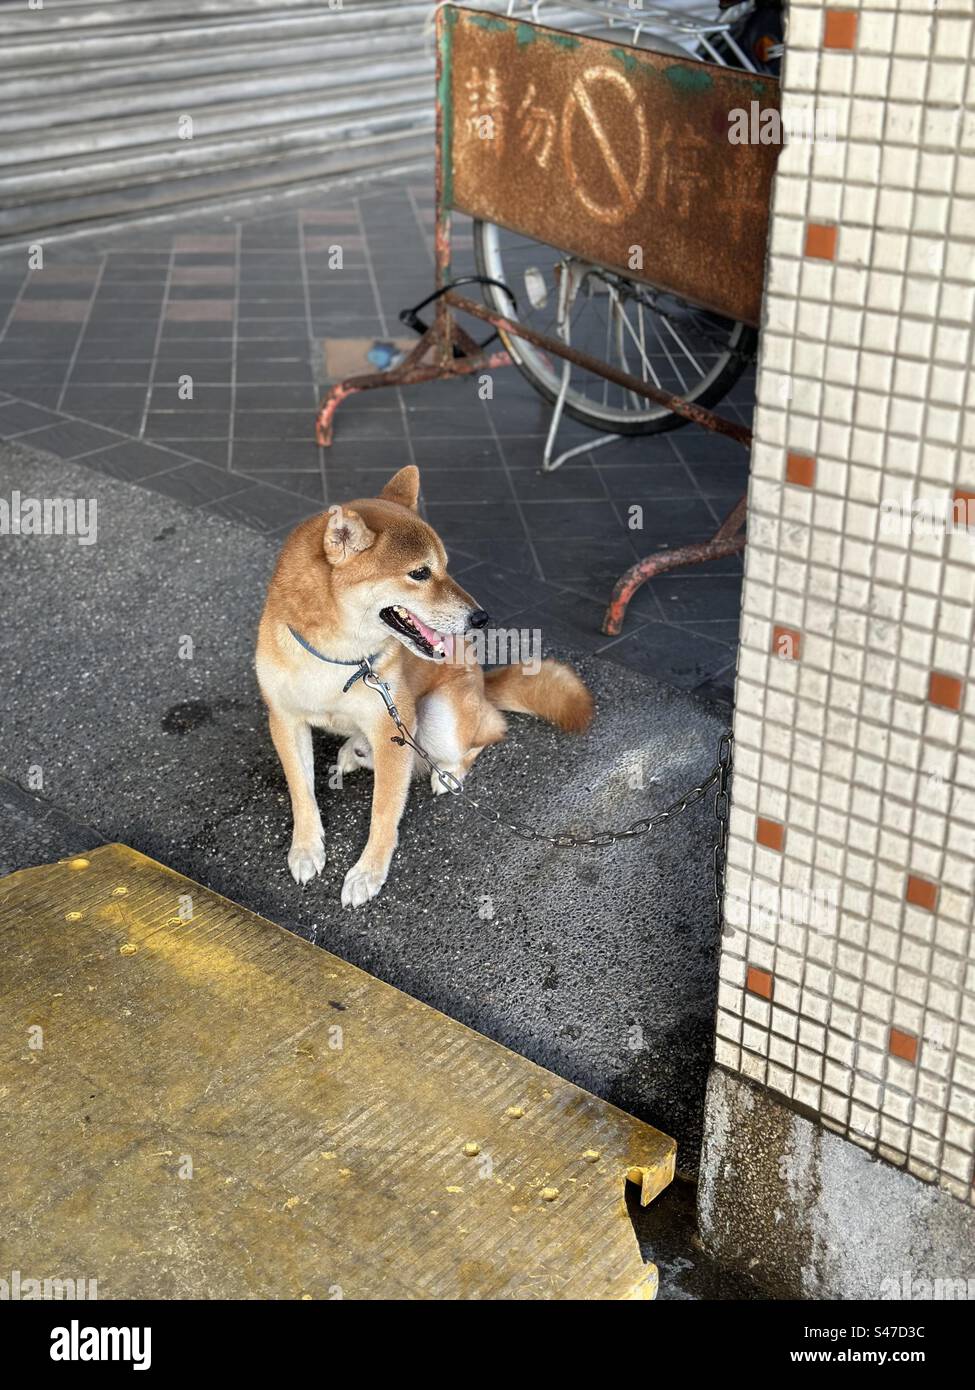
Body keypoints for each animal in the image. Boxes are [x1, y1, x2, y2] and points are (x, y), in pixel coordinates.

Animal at [254, 461, 589, 906]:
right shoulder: (285, 719)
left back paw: (448, 773)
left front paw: (368, 873)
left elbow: (384, 811)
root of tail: (482, 683)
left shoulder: (389, 729)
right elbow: (301, 791)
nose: (481, 618)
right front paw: (306, 848)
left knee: (488, 732)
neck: (337, 658)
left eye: (445, 566)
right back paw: (353, 751)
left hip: (438, 715)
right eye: (419, 573)